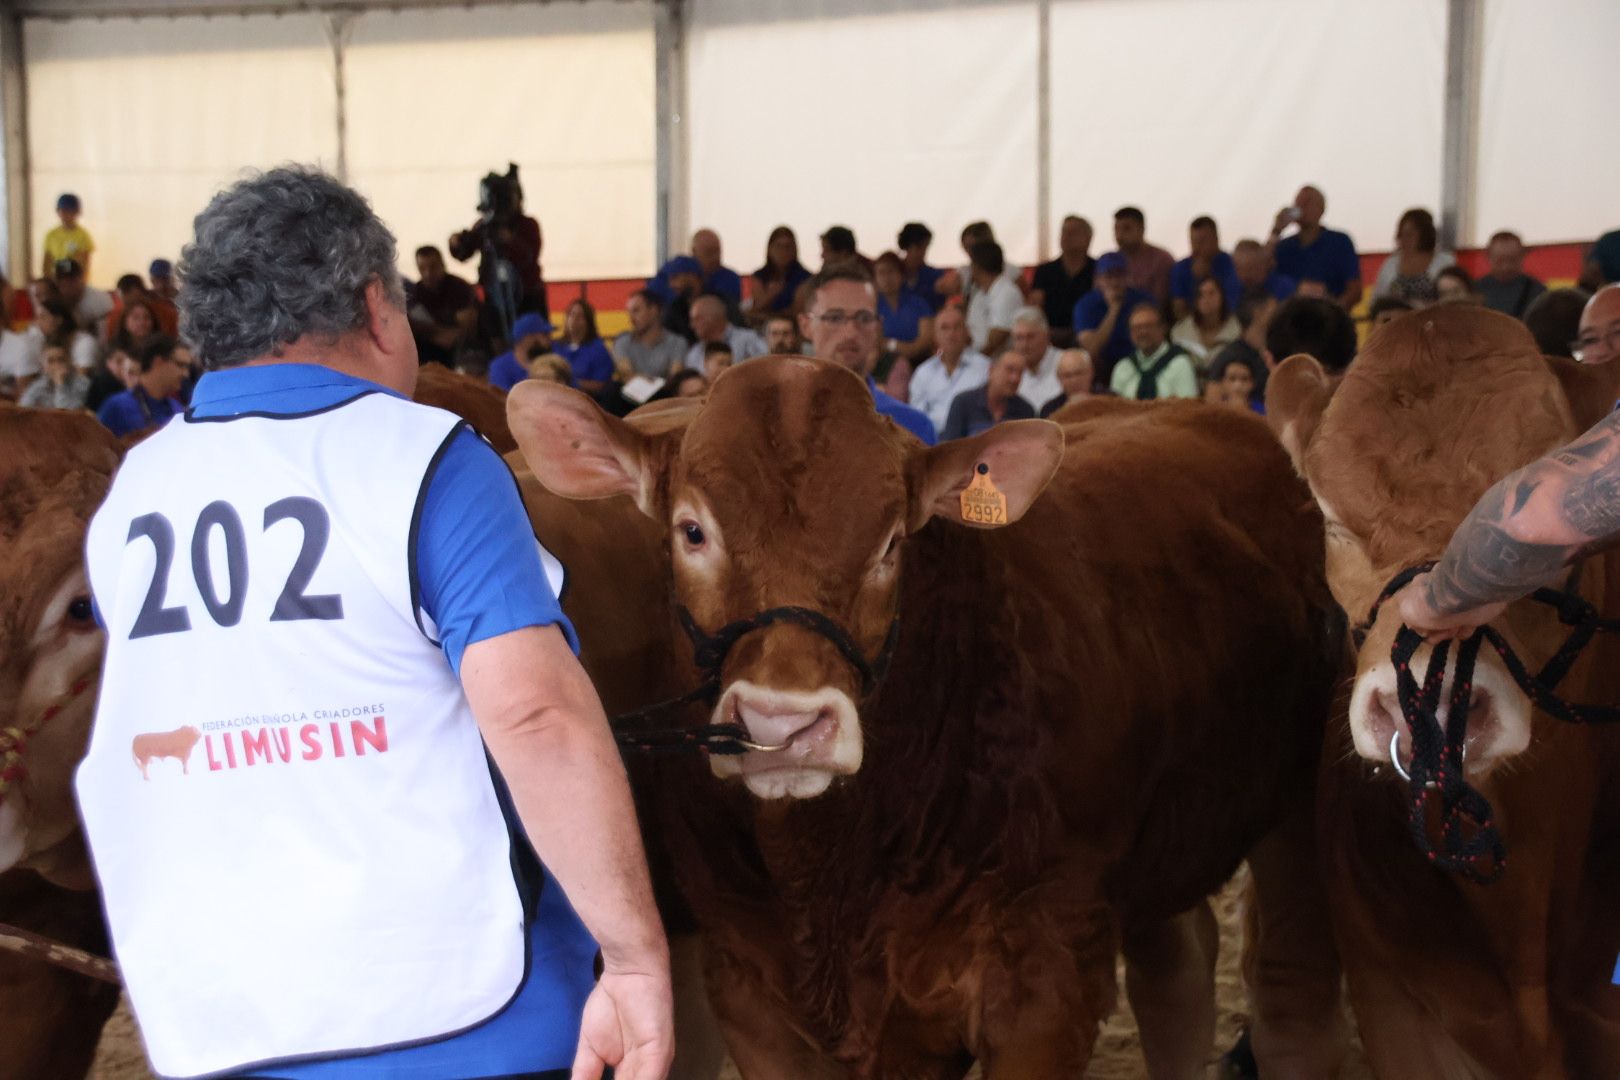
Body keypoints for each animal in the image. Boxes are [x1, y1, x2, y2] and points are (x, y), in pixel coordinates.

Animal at [505, 361, 1341, 1080]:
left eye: (890, 543)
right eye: (691, 531)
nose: (784, 725)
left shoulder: (1048, 974)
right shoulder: (748, 984)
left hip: (1298, 810)